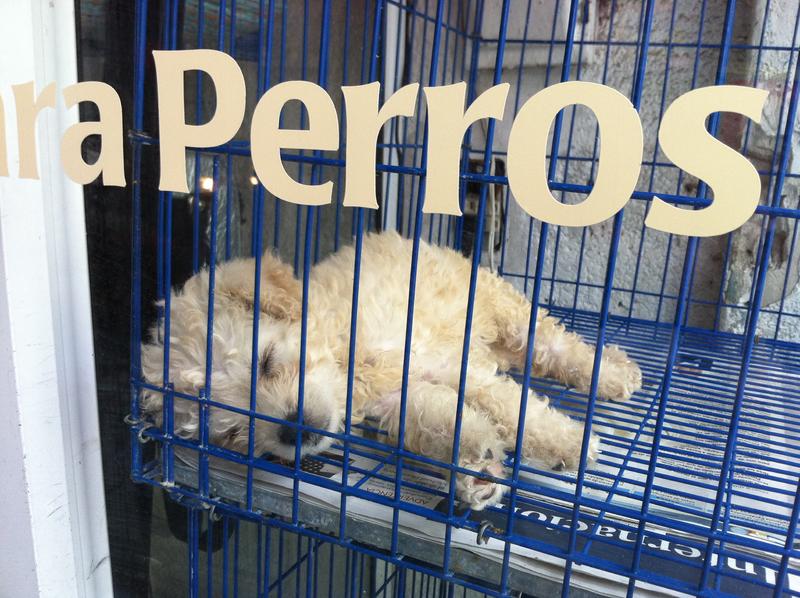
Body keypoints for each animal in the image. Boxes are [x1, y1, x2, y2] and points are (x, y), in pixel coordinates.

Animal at [140, 231, 642, 510]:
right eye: (233, 434)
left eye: (266, 362)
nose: (289, 430)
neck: (345, 355)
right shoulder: (402, 397)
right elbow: (435, 419)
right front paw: (476, 469)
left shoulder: (446, 363)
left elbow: (516, 409)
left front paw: (574, 445)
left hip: (500, 304)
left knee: (552, 342)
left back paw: (613, 373)